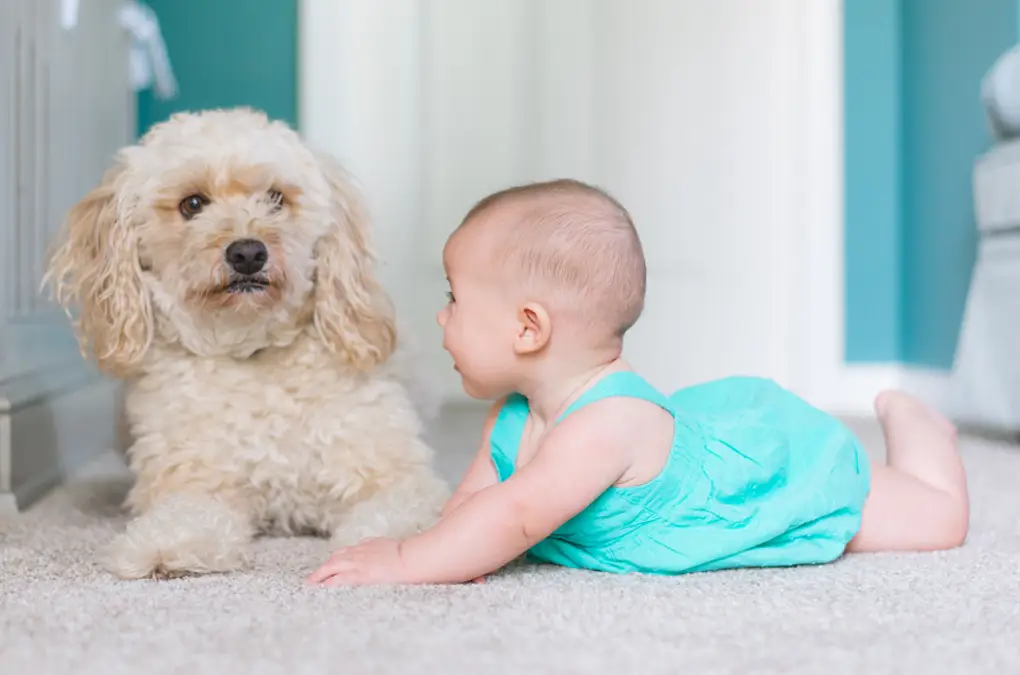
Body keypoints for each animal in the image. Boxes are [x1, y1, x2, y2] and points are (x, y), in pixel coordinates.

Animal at [42, 107, 450, 583]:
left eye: (275, 198)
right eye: (192, 204)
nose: (248, 253)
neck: (252, 352)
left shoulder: (395, 476)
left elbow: (399, 514)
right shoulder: (194, 482)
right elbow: (186, 516)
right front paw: (167, 546)